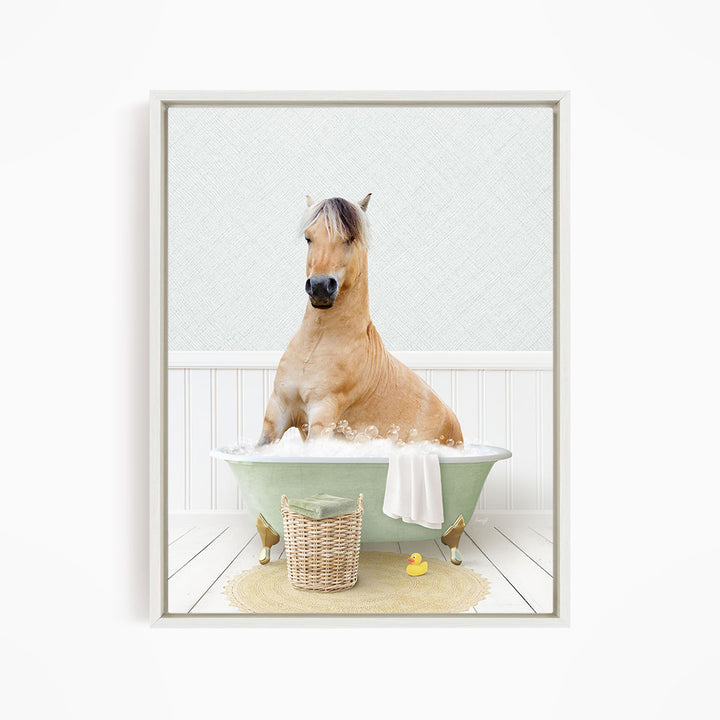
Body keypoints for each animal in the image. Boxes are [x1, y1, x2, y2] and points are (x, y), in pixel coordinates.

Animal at [258, 194, 463, 446]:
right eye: (309, 238)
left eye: (349, 238)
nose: (319, 287)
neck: (315, 345)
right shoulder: (277, 412)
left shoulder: (323, 414)